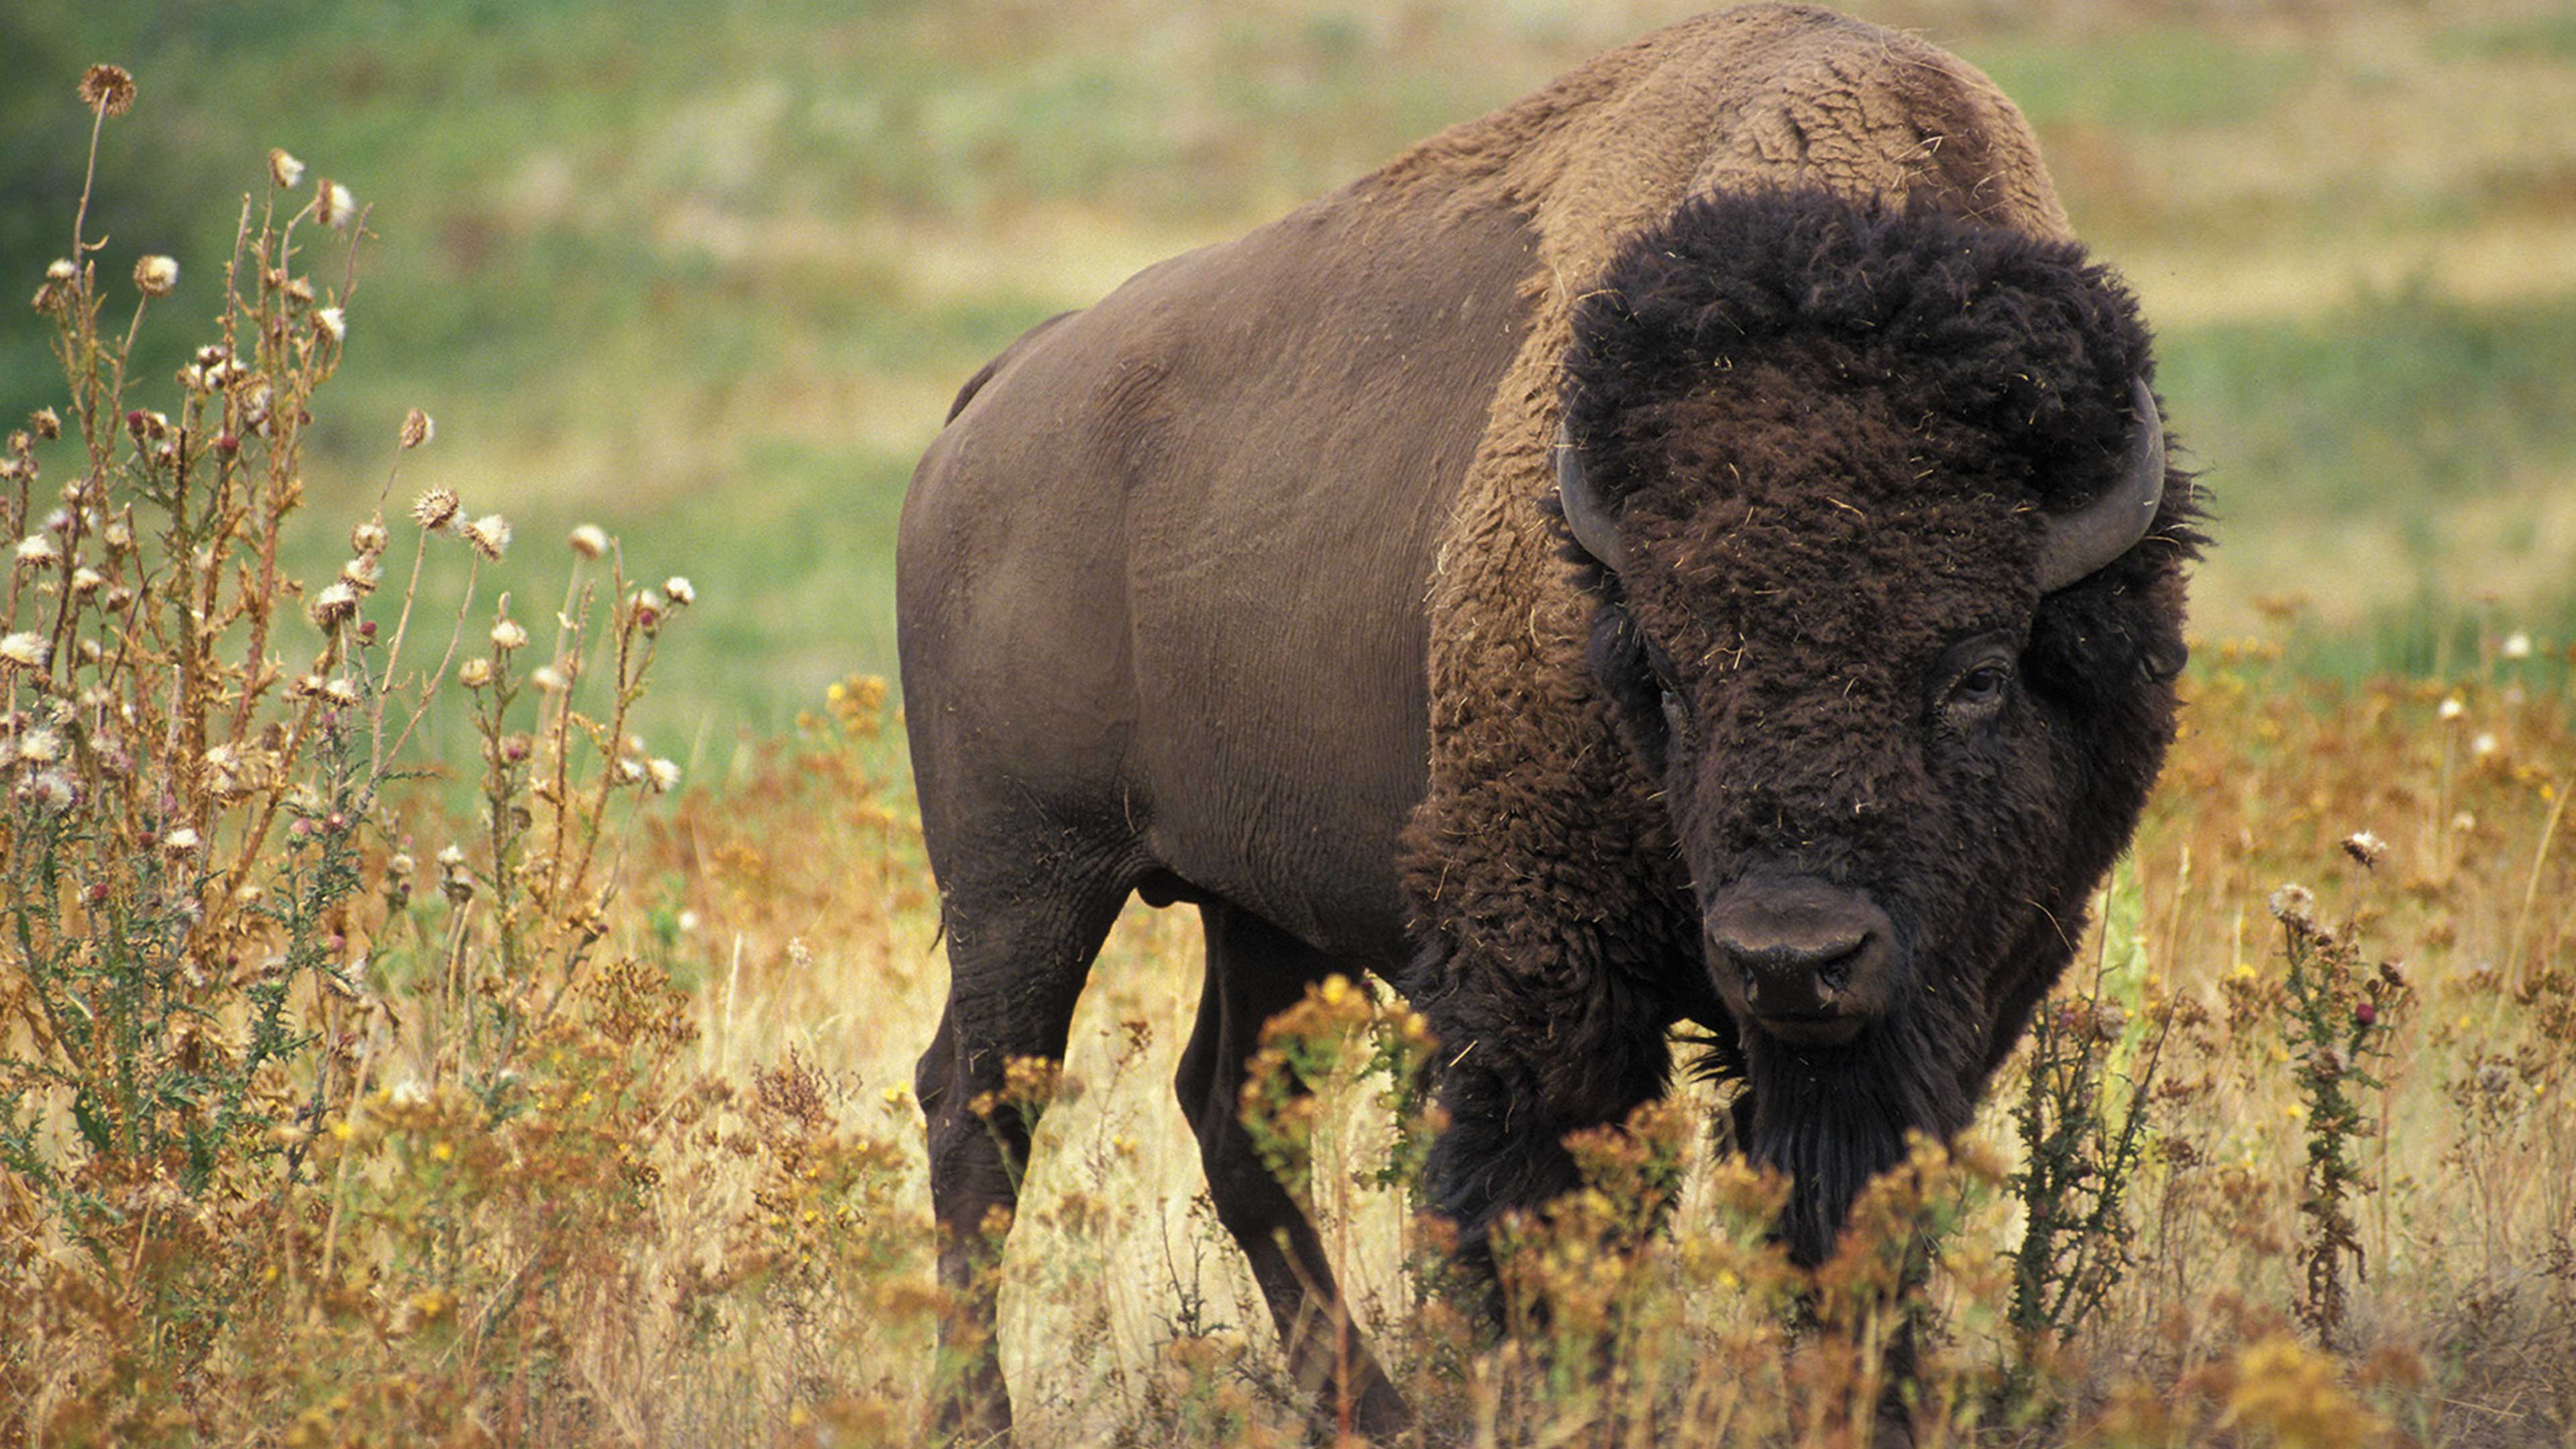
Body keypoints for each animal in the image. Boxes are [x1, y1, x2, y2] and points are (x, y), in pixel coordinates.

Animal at [902, 5, 2194, 1433]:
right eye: (1667, 678)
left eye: (1977, 673)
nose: (1791, 956)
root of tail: (996, 398)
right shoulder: (1543, 960)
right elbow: (1546, 1207)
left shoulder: (1963, 980)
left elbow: (1853, 1209)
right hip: (1024, 879)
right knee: (981, 1110)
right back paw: (981, 1416)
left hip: (1254, 901)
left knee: (1229, 1109)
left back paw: (1375, 1411)